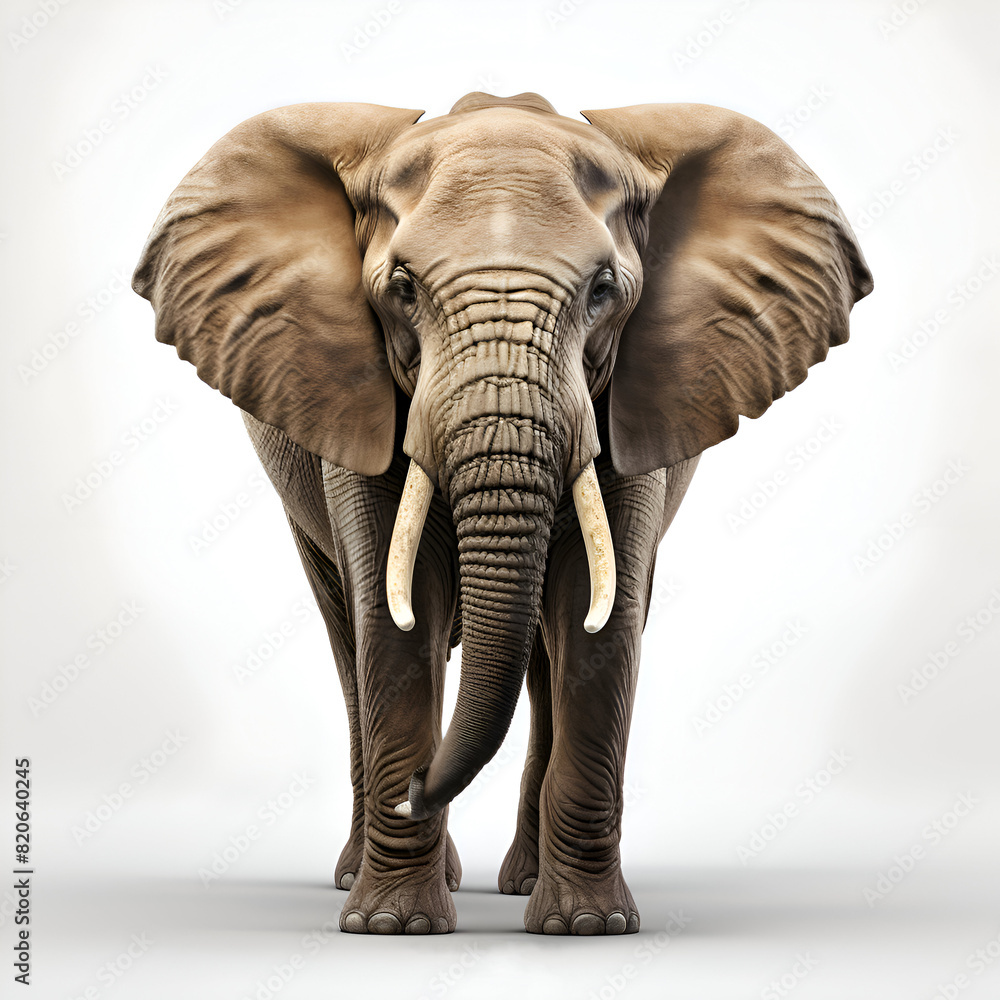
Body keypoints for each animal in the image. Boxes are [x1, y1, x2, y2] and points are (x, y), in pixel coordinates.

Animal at [133, 91, 872, 936]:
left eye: (602, 290)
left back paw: (521, 883)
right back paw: (367, 873)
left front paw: (588, 928)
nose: (415, 791)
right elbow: (395, 621)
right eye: (403, 288)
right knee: (347, 631)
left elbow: (598, 624)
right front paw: (394, 927)